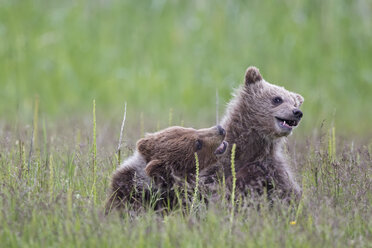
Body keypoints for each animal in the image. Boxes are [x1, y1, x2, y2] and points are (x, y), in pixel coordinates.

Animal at [202, 66, 304, 202]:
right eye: (277, 99)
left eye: (294, 103)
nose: (297, 112)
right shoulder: (218, 161)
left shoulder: (272, 169)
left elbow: (290, 193)